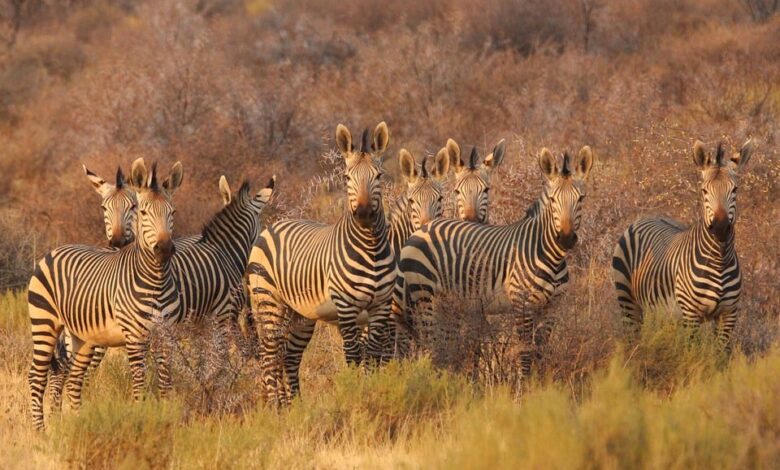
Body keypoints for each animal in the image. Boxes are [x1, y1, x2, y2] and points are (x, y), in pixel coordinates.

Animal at [27, 159, 183, 430]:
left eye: (172, 212)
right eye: (144, 213)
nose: (164, 249)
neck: (157, 280)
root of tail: (54, 250)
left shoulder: (166, 335)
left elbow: (165, 383)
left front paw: (166, 420)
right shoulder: (135, 337)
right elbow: (140, 384)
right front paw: (140, 420)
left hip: (82, 337)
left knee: (73, 379)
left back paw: (77, 423)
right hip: (44, 323)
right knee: (37, 376)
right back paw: (40, 431)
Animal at [248, 121, 396, 404]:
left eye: (379, 176)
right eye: (347, 178)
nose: (363, 214)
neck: (370, 247)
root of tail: (274, 225)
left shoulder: (381, 306)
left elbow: (372, 355)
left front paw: (370, 391)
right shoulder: (347, 308)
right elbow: (353, 356)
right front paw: (355, 395)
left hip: (300, 314)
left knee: (289, 357)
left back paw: (293, 406)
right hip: (268, 302)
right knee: (269, 356)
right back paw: (274, 407)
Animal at [394, 146, 596, 382]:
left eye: (581, 199)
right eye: (554, 200)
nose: (565, 238)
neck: (550, 256)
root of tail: (422, 228)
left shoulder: (551, 308)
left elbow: (540, 351)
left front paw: (540, 385)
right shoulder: (523, 305)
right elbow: (525, 352)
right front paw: (524, 388)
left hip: (446, 303)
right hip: (424, 295)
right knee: (429, 341)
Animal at [612, 138, 752, 350]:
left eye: (735, 190)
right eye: (704, 191)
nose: (720, 229)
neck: (719, 260)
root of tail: (648, 216)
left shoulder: (728, 314)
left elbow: (719, 356)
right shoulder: (691, 314)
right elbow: (692, 353)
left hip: (662, 310)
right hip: (628, 301)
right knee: (632, 337)